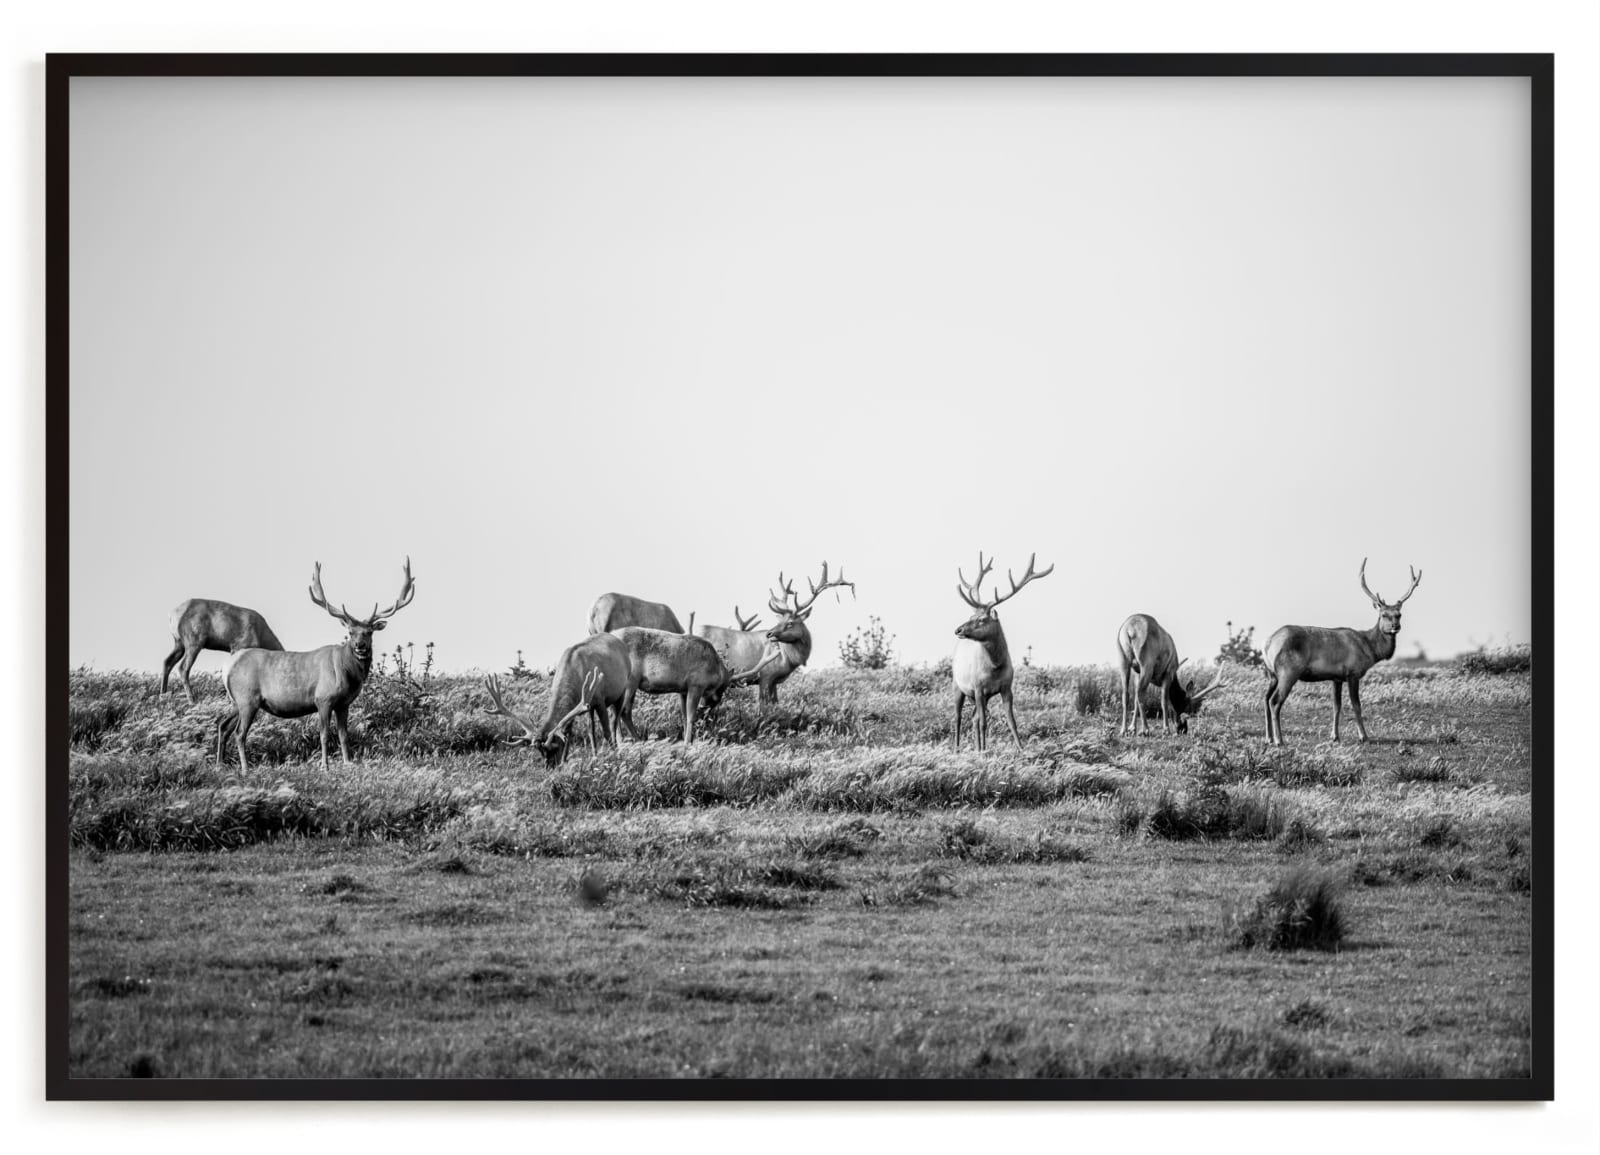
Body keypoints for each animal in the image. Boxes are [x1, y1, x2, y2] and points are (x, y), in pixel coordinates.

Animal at [217, 558, 416, 771]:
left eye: (369, 632)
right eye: (351, 632)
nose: (360, 646)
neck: (347, 673)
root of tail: (228, 666)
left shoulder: (343, 703)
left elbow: (344, 735)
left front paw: (348, 762)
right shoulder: (323, 698)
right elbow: (324, 735)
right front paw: (325, 766)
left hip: (237, 701)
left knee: (223, 725)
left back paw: (220, 764)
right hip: (247, 698)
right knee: (239, 733)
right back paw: (245, 768)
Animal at [480, 632, 635, 765]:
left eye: (554, 747)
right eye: (539, 751)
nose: (549, 767)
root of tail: (619, 641)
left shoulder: (599, 698)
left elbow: (606, 731)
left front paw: (613, 755)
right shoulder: (578, 704)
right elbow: (568, 733)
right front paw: (565, 760)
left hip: (622, 688)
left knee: (614, 721)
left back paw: (616, 748)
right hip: (590, 707)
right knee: (591, 729)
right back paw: (595, 755)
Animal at [609, 627, 780, 743]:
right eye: (723, 689)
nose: (708, 704)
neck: (716, 671)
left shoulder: (682, 690)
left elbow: (684, 717)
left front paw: (688, 739)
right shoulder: (696, 684)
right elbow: (691, 716)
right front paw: (687, 742)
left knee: (620, 711)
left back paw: (633, 740)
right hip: (631, 680)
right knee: (621, 711)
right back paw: (625, 741)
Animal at [951, 552, 1053, 752]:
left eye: (981, 619)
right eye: (971, 616)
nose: (958, 630)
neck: (995, 667)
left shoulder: (1006, 687)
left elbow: (1011, 721)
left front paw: (1021, 749)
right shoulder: (978, 687)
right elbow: (984, 722)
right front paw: (984, 750)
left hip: (981, 696)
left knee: (973, 718)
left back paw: (976, 747)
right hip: (958, 686)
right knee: (958, 717)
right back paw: (958, 749)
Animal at [1262, 558, 1422, 746]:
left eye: (1399, 614)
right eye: (1383, 614)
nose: (1395, 627)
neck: (1370, 650)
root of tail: (1268, 644)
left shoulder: (1336, 677)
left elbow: (1336, 706)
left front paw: (1335, 736)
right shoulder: (1353, 673)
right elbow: (1356, 705)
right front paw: (1363, 736)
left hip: (1272, 674)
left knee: (1265, 698)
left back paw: (1268, 737)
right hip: (1288, 671)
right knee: (1275, 701)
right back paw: (1279, 739)